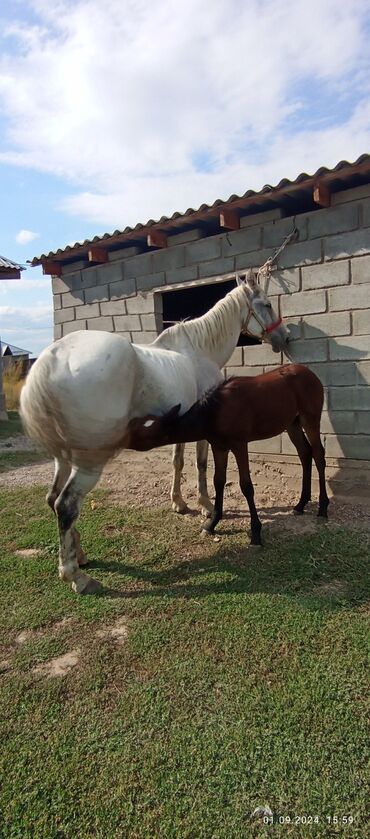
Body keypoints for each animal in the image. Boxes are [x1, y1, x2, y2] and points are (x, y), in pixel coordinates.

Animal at [21, 272, 290, 592]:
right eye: (267, 304)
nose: (285, 337)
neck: (198, 351)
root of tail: (52, 360)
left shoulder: (179, 423)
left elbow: (177, 462)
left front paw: (179, 503)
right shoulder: (204, 431)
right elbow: (201, 465)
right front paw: (205, 506)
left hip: (62, 458)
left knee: (53, 499)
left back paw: (80, 554)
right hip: (88, 462)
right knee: (66, 505)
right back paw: (76, 575)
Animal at [128, 364, 330, 548]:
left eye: (142, 434)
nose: (124, 438)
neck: (215, 412)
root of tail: (310, 373)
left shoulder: (239, 445)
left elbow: (246, 486)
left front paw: (255, 533)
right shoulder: (219, 447)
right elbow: (218, 481)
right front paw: (211, 524)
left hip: (310, 419)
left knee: (319, 454)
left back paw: (322, 507)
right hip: (292, 424)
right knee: (305, 454)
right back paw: (301, 504)